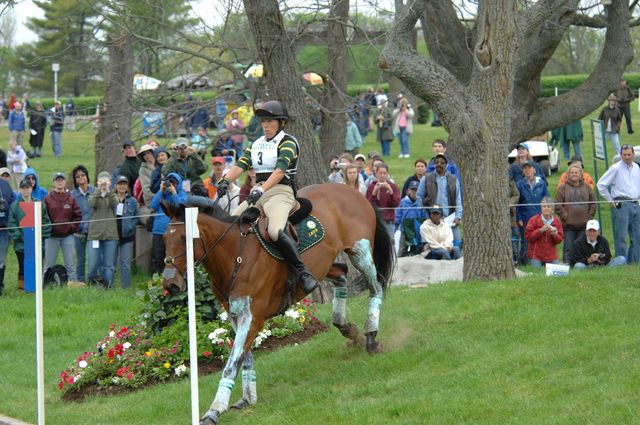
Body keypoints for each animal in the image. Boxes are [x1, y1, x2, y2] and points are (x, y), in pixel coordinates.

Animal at [160, 182, 396, 424]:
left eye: (185, 239)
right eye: (164, 239)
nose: (171, 285)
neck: (236, 254)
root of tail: (353, 191)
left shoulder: (252, 318)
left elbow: (232, 363)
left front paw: (214, 410)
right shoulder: (236, 315)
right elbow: (243, 357)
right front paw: (247, 398)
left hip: (360, 251)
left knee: (375, 288)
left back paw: (371, 337)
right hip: (325, 264)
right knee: (341, 275)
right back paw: (347, 328)